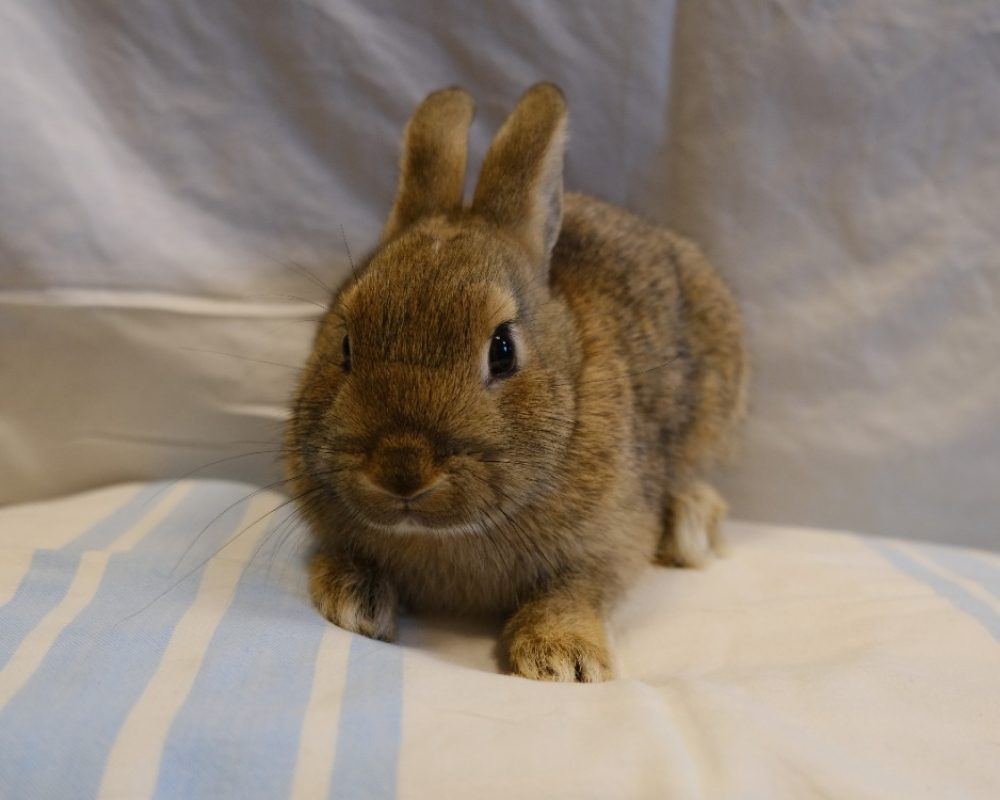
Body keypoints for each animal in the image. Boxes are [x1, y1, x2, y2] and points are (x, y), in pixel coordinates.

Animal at [286, 83, 746, 682]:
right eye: (344, 343)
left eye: (502, 350)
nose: (401, 470)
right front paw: (351, 602)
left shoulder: (609, 539)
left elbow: (576, 590)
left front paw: (564, 659)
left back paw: (690, 529)